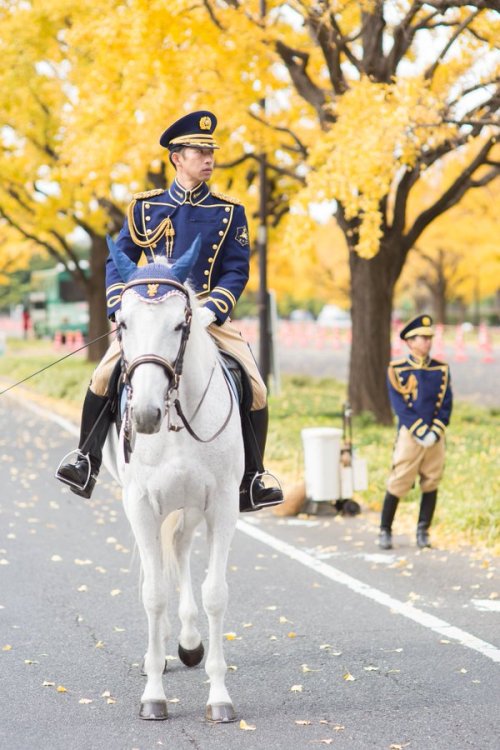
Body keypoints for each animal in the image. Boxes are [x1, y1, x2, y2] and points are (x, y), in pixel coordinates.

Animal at [102, 238, 243, 724]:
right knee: (158, 568)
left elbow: (215, 594)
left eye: (180, 324)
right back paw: (159, 654)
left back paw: (187, 643)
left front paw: (219, 697)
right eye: (123, 322)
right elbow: (153, 593)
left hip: (192, 505)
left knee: (179, 549)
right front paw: (154, 695)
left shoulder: (222, 504)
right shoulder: (141, 504)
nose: (144, 415)